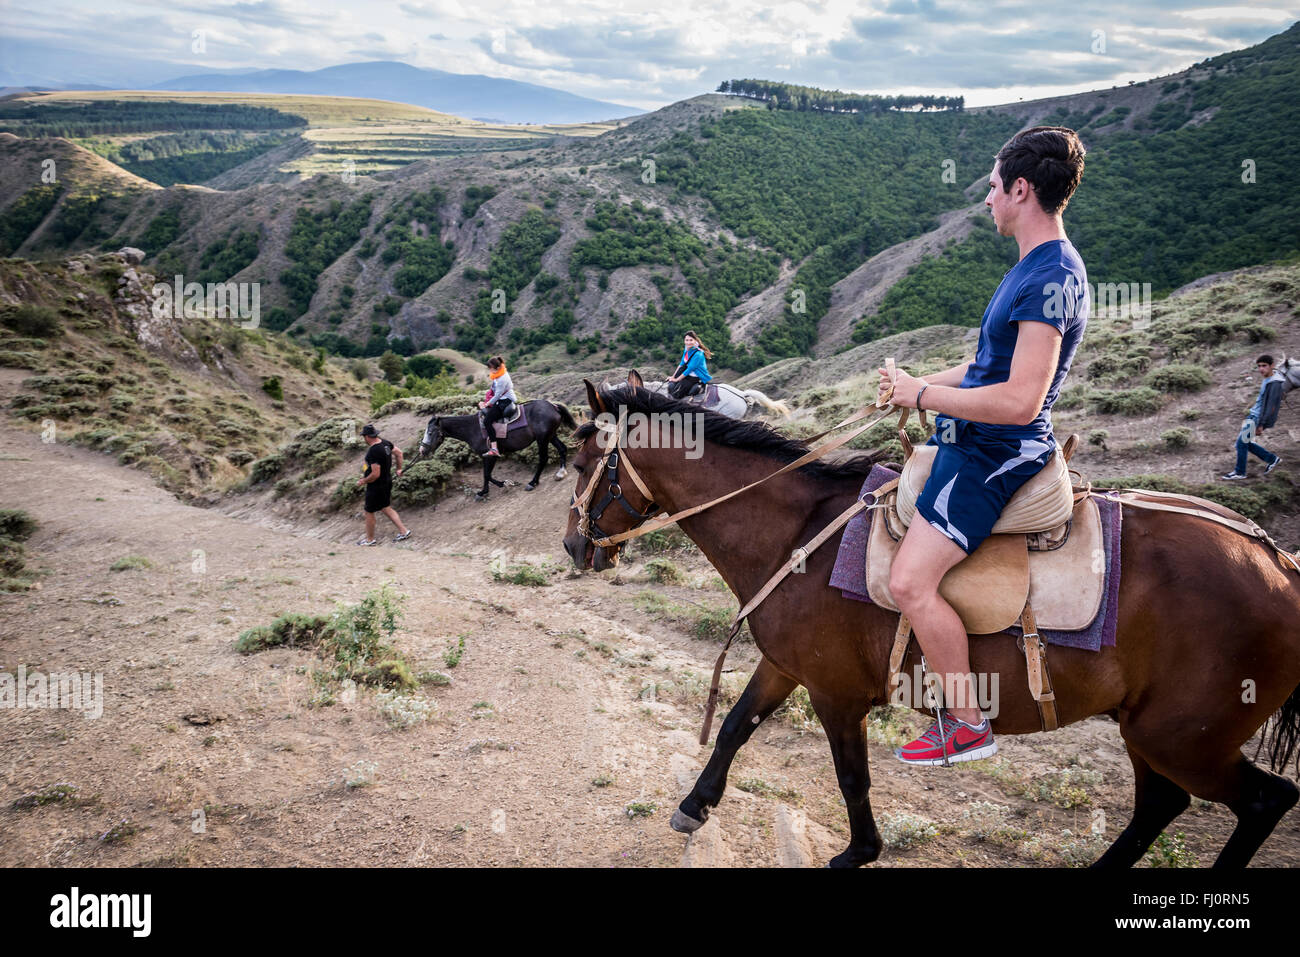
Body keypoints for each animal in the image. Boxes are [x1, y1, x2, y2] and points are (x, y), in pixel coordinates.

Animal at [415, 399, 575, 499]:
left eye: (430, 432)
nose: (422, 451)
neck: (472, 428)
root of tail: (553, 406)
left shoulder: (491, 455)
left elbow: (487, 475)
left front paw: (503, 484)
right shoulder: (485, 456)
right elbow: (487, 475)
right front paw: (485, 491)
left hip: (542, 440)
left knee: (543, 458)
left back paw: (532, 482)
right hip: (551, 436)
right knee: (562, 449)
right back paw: (561, 472)